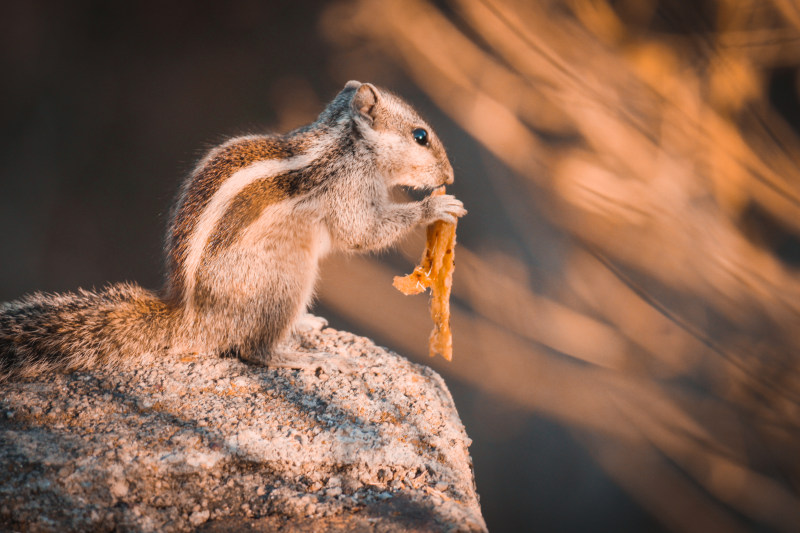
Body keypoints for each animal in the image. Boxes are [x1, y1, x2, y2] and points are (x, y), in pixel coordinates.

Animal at [0, 79, 466, 380]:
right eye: (420, 135)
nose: (451, 175)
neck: (346, 143)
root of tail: (190, 320)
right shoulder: (347, 191)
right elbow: (362, 232)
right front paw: (436, 206)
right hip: (285, 281)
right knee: (253, 350)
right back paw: (302, 357)